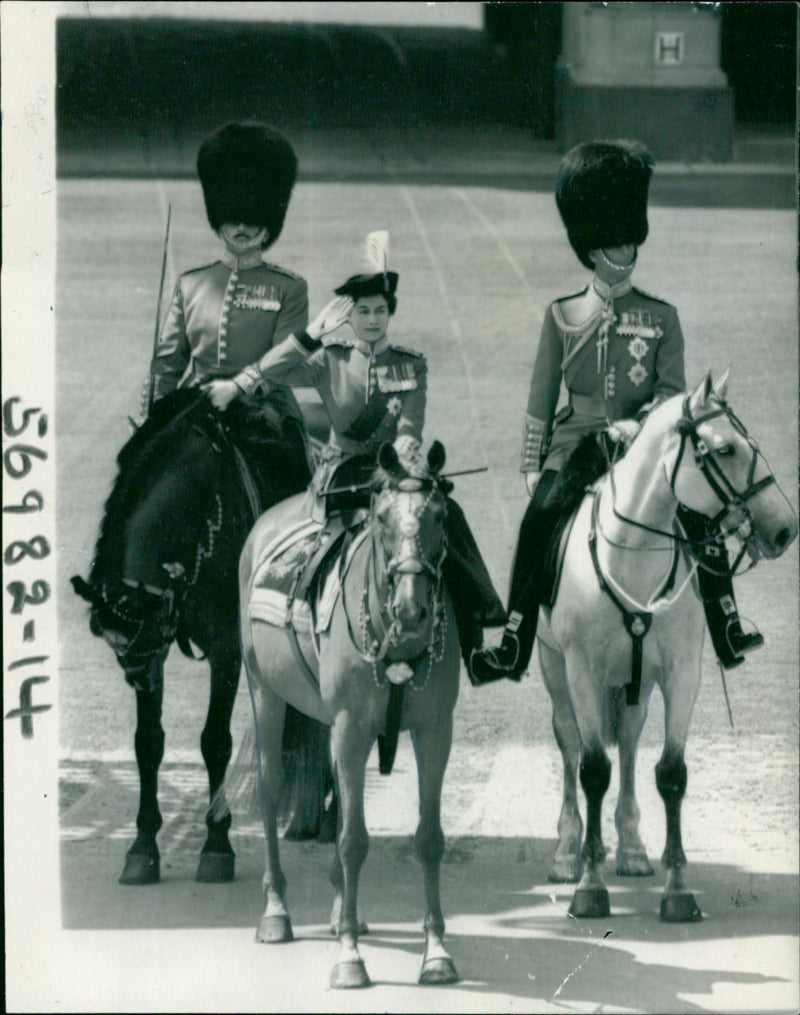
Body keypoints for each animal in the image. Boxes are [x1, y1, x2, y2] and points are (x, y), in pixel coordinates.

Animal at [238, 440, 462, 986]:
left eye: (440, 516)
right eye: (382, 519)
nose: (411, 609)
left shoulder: (434, 730)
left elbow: (428, 838)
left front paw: (436, 952)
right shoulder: (352, 727)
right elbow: (353, 841)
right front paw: (349, 957)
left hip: (330, 723)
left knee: (338, 795)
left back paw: (346, 911)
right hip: (266, 692)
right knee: (272, 788)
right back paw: (276, 911)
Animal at [536, 371, 791, 921]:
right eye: (726, 449)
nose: (786, 527)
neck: (631, 555)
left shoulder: (679, 673)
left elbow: (670, 773)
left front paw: (678, 889)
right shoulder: (582, 670)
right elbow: (592, 769)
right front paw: (590, 886)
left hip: (638, 682)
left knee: (631, 741)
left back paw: (632, 849)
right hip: (555, 669)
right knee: (569, 744)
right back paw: (566, 852)